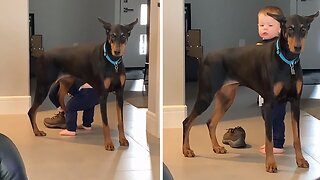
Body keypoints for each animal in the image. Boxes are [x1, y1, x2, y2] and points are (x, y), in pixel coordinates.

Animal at [29, 17, 139, 150]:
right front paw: (108, 143)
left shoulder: (119, 93)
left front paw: (122, 139)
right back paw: (37, 131)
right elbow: (105, 123)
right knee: (32, 111)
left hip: (67, 81)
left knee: (60, 96)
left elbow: (121, 121)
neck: (113, 62)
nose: (117, 51)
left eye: (123, 36)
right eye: (112, 35)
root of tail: (42, 55)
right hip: (43, 86)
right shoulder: (103, 95)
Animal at [181, 11, 318, 172]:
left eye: (303, 29)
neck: (288, 61)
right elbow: (269, 138)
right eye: (290, 28)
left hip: (226, 98)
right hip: (205, 95)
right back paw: (186, 150)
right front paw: (270, 163)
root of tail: (205, 57)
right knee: (187, 122)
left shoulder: (296, 101)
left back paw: (216, 147)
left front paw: (301, 160)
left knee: (211, 122)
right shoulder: (269, 104)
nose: (297, 47)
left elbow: (297, 137)